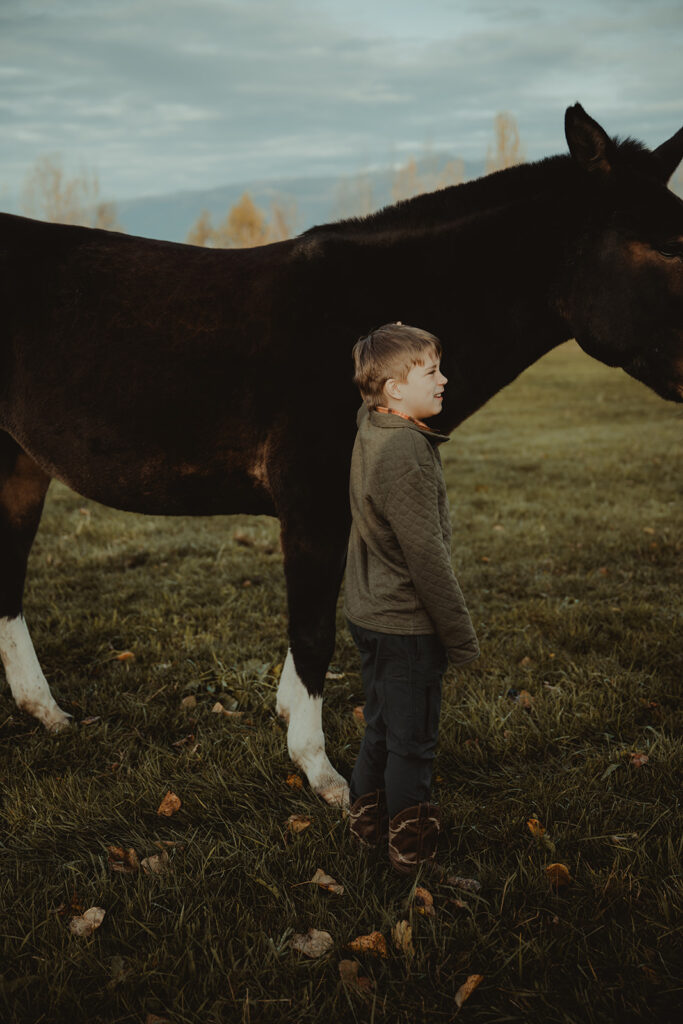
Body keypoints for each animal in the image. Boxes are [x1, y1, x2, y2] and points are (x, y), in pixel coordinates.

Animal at [0, 105, 679, 806]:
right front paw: (321, 772)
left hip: (19, 463)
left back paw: (45, 711)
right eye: (665, 246)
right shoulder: (312, 505)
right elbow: (314, 633)